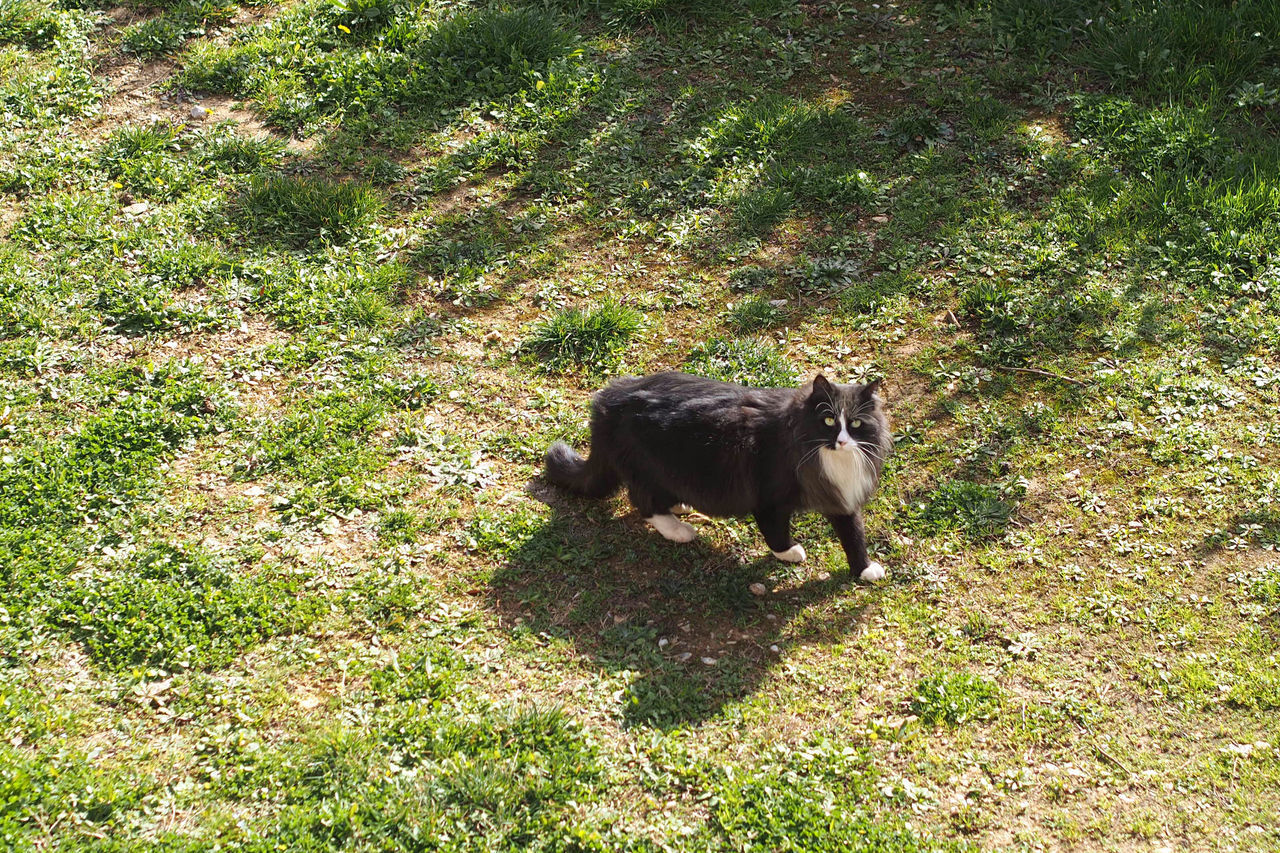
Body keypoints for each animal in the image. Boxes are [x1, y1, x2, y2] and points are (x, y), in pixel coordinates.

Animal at [540, 371, 890, 578]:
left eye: (855, 424)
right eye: (829, 421)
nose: (842, 441)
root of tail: (606, 401)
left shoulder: (840, 498)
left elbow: (853, 534)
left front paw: (864, 569)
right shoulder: (769, 499)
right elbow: (776, 534)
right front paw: (790, 553)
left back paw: (680, 507)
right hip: (650, 464)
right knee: (643, 502)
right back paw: (679, 530)